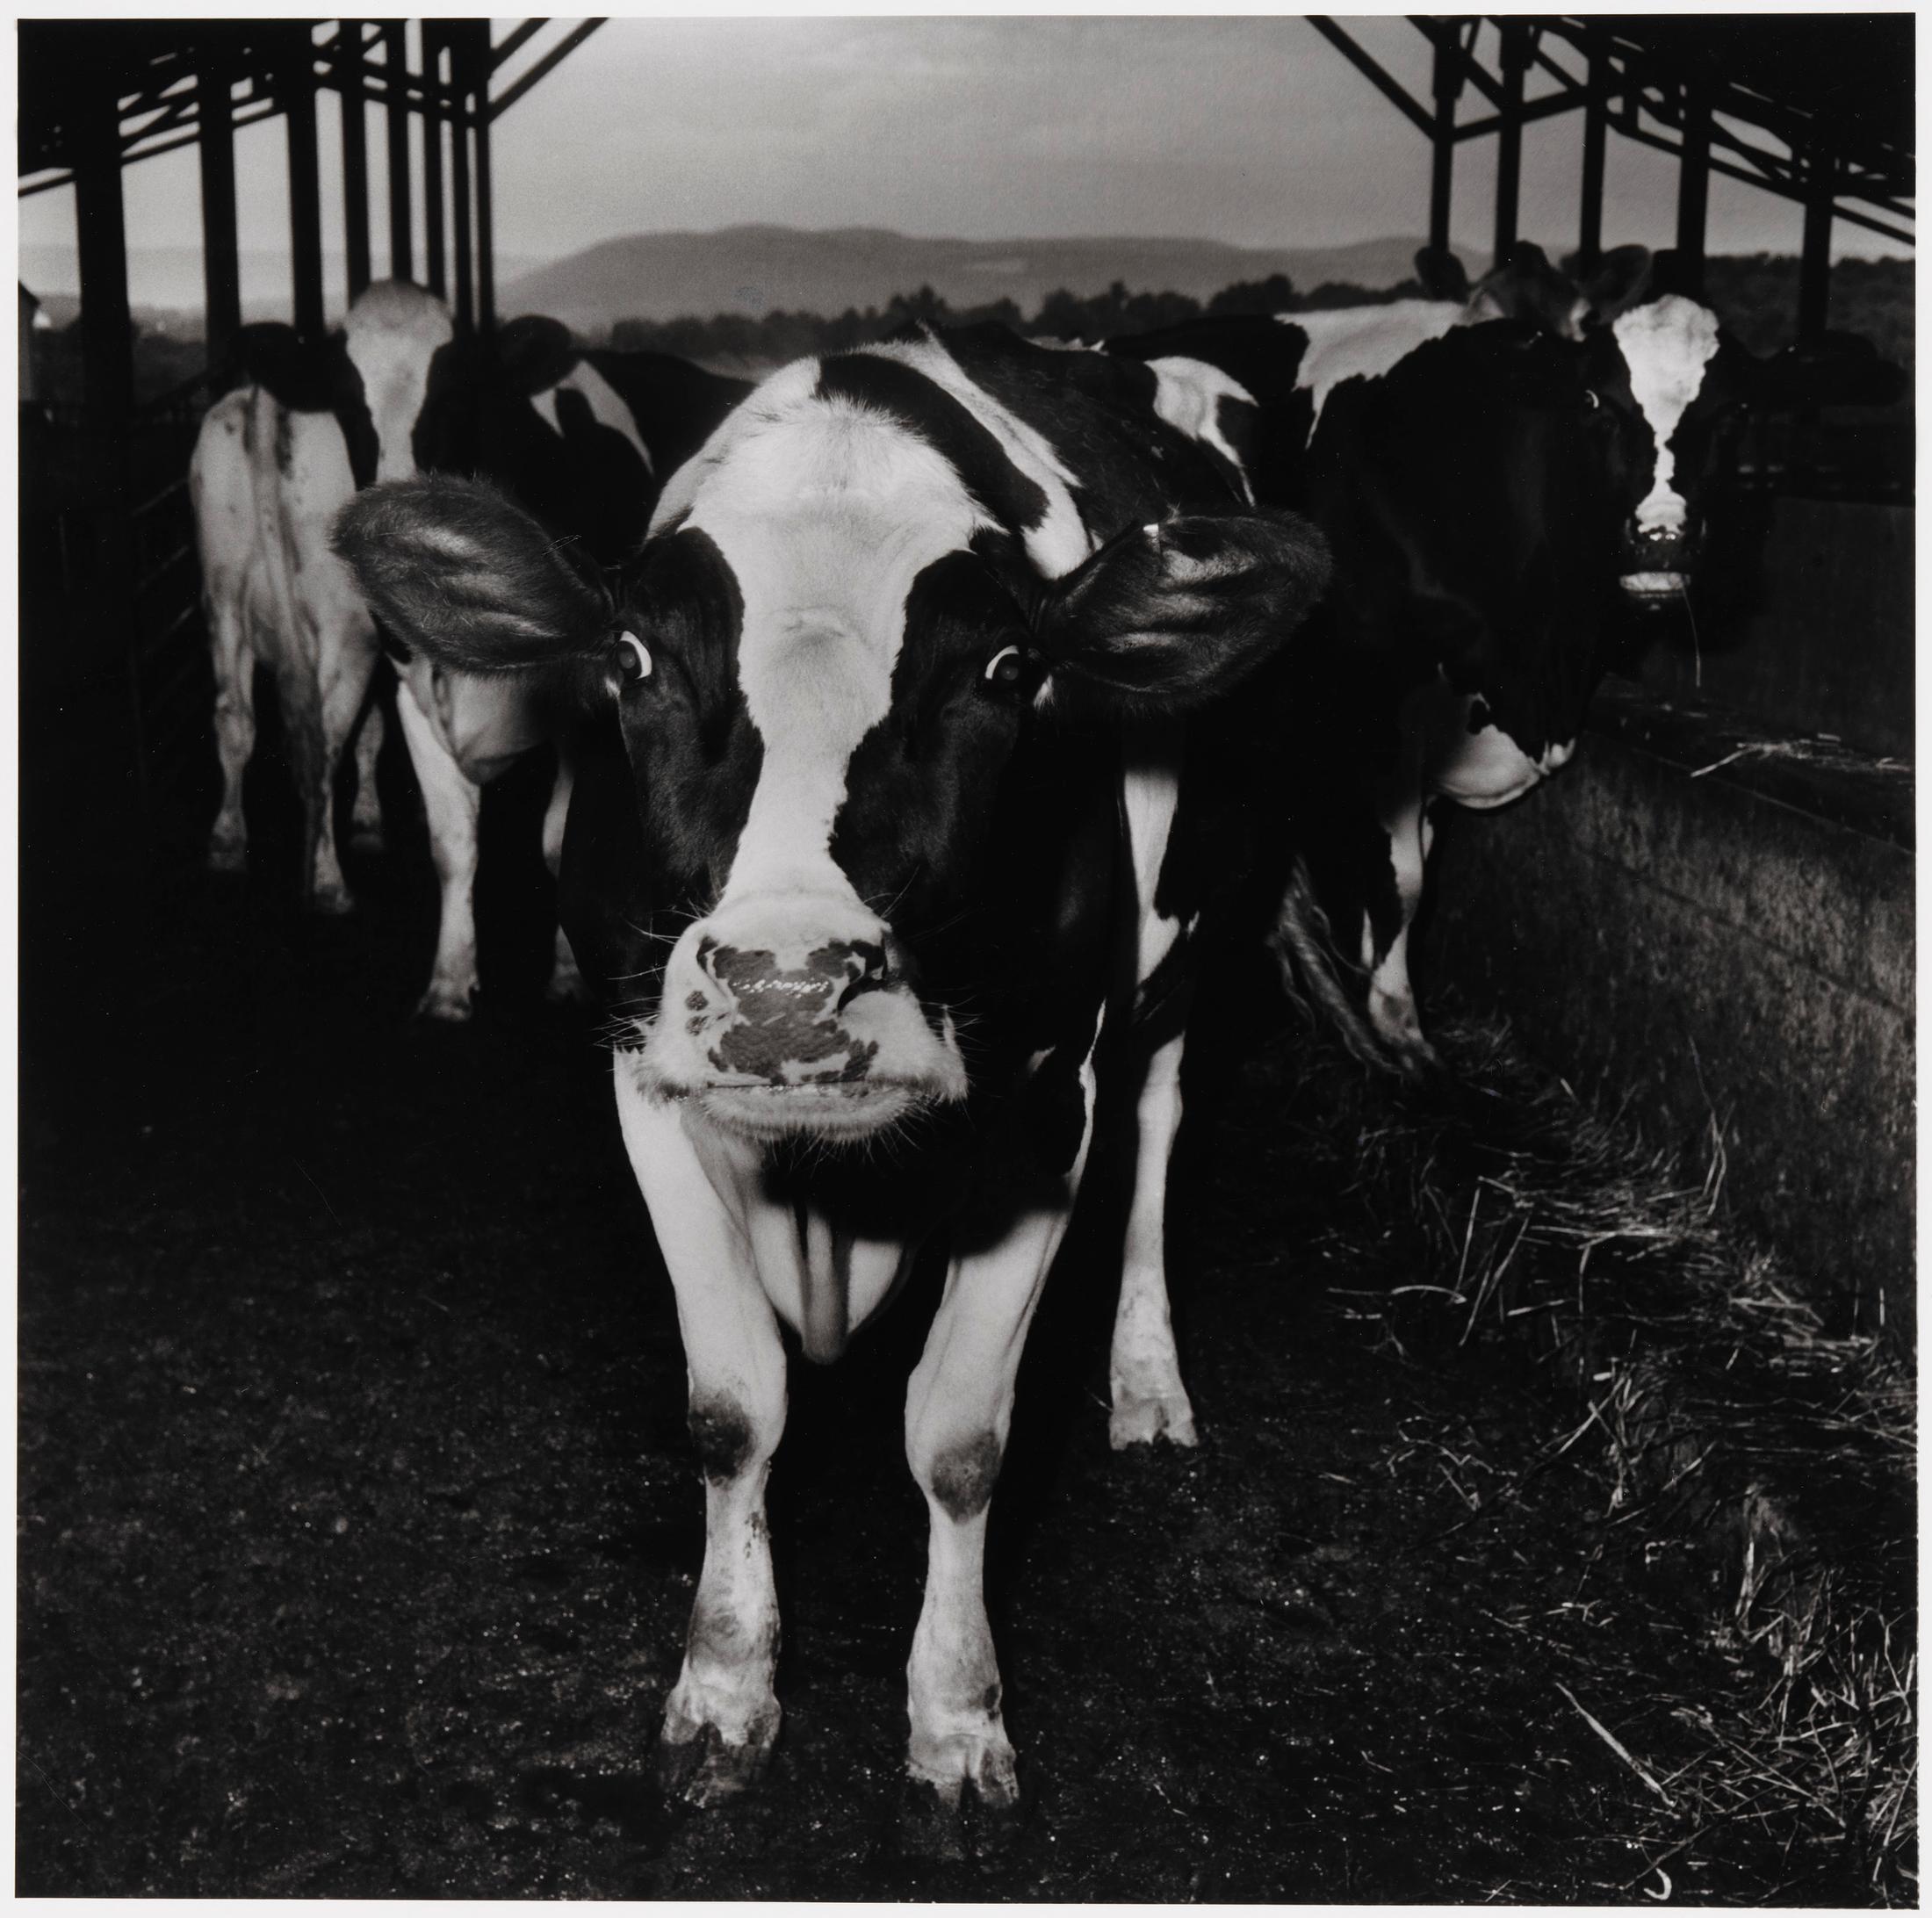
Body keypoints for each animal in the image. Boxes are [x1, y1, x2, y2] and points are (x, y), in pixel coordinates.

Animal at [334, 323, 1331, 1808]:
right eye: (631, 659)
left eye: (1008, 672)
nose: (788, 986)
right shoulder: (643, 1077)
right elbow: (733, 1408)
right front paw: (723, 1685)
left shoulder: (1048, 1102)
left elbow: (963, 1437)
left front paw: (959, 1714)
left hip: (1189, 948)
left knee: (1160, 1136)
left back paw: (1150, 1376)